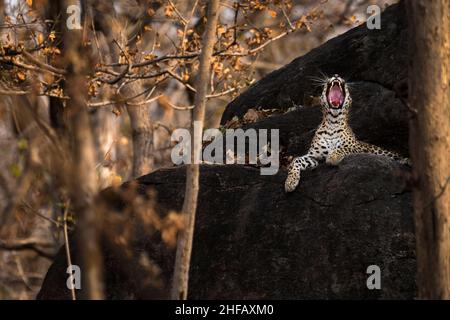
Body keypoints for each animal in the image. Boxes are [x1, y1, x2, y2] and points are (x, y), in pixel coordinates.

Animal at [284, 74, 412, 192]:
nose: (336, 75)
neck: (332, 122)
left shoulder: (358, 147)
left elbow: (343, 148)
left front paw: (333, 157)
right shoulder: (314, 157)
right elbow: (295, 161)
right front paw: (290, 182)